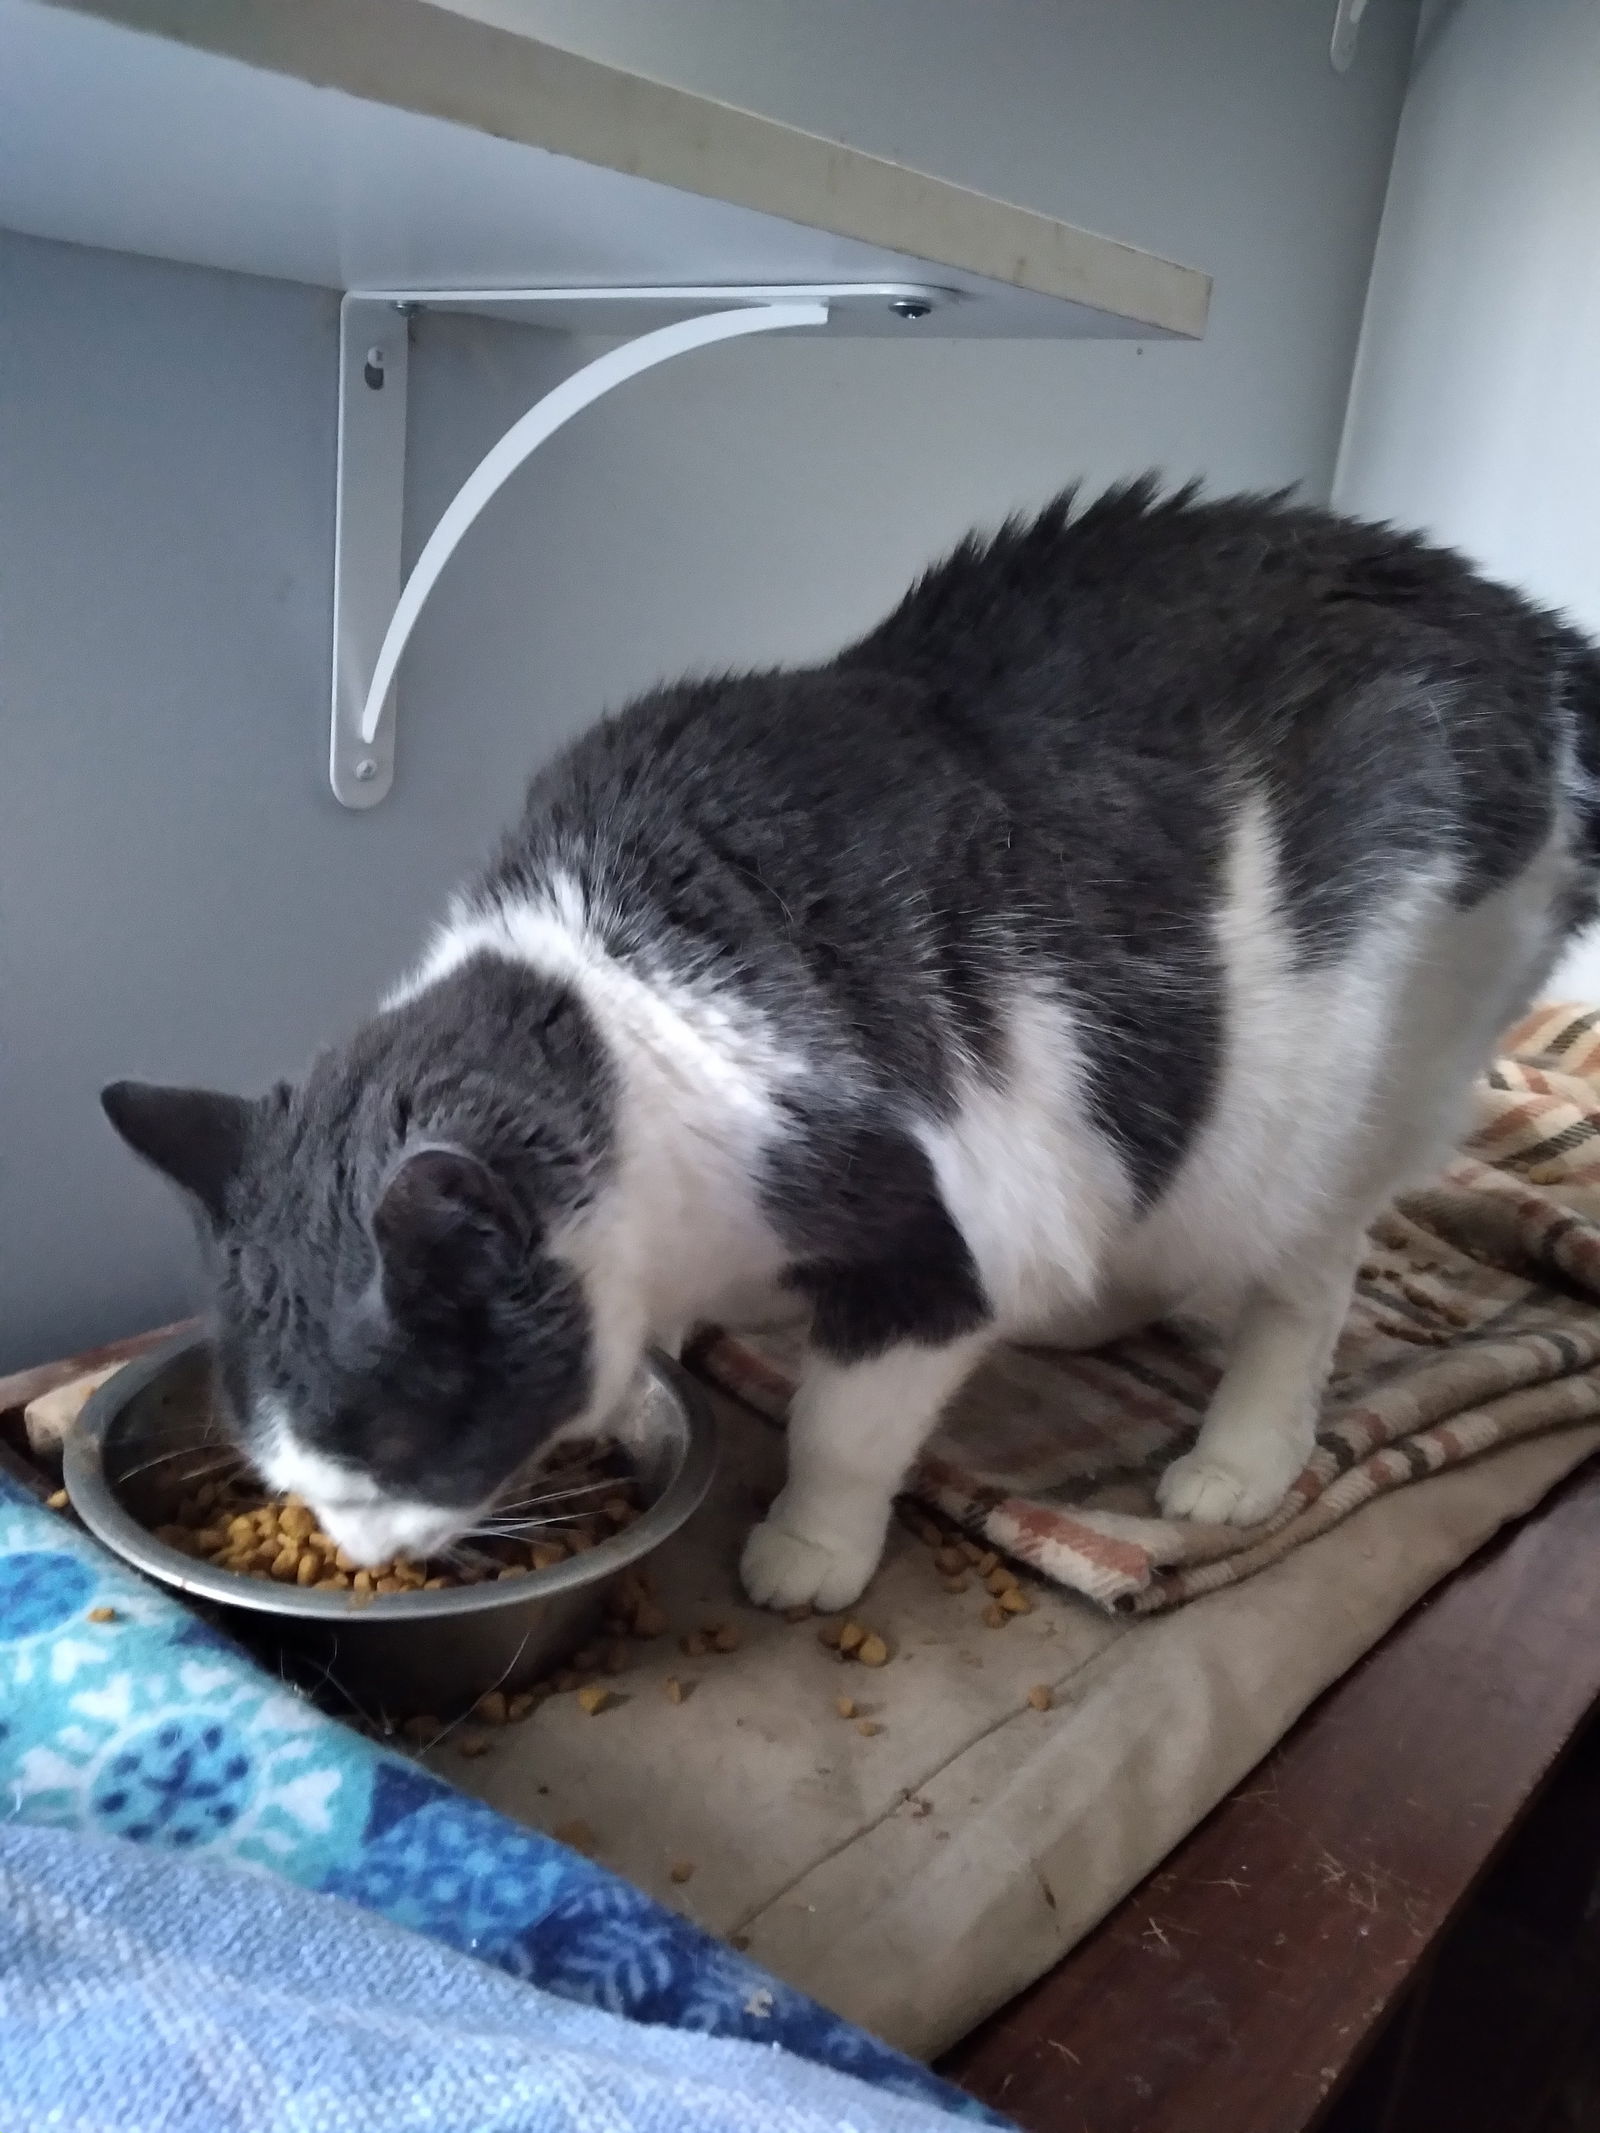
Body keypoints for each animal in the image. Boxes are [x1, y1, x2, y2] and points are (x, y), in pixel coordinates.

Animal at [100, 484, 1600, 1604]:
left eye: (398, 1449)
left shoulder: (933, 1232)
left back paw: (1240, 1455)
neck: (618, 1002)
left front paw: (809, 1550)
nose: (353, 1547)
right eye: (281, 1464)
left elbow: (841, 1422)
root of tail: (1513, 622)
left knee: (1311, 1268)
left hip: (1353, 1070)